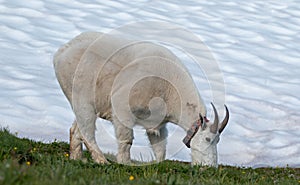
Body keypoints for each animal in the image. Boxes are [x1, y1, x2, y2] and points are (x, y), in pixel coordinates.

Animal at [53, 31, 230, 166]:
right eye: (208, 138)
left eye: (218, 140)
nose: (209, 167)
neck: (169, 89)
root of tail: (61, 52)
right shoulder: (122, 108)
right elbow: (127, 139)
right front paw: (125, 163)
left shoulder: (158, 124)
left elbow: (160, 147)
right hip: (82, 99)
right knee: (87, 131)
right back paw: (102, 160)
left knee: (76, 129)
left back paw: (77, 158)